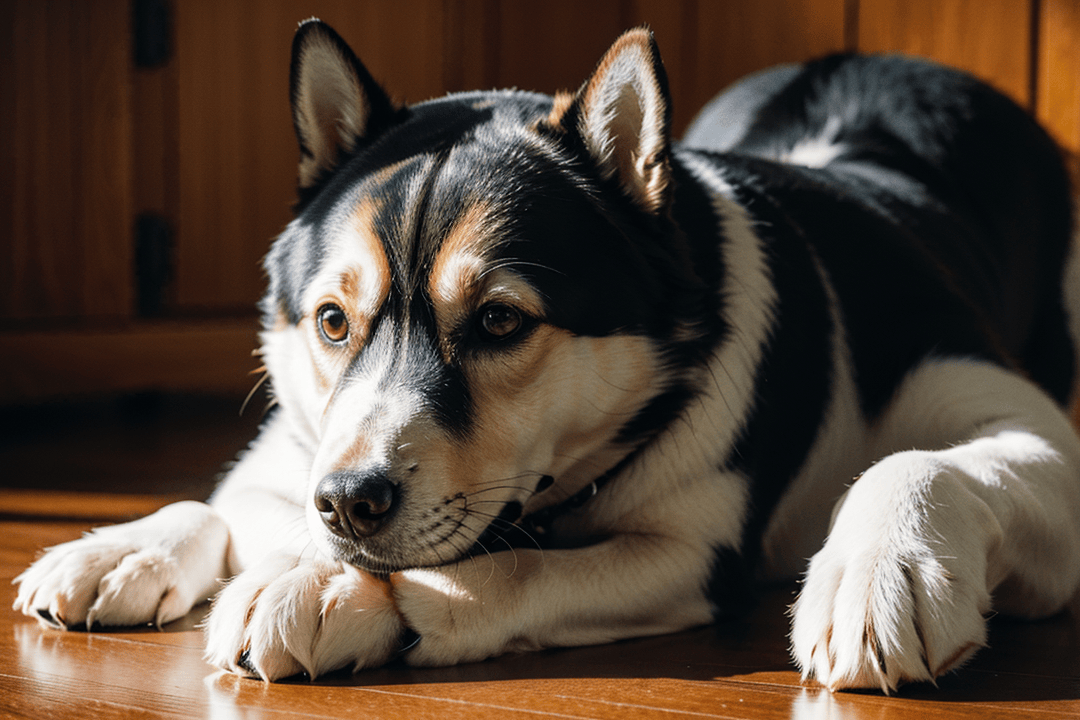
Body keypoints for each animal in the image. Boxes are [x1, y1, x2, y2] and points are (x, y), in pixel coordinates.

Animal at [12, 21, 1080, 690]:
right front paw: (126, 546)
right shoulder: (302, 447)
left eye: (498, 323)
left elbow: (511, 570)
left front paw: (881, 570)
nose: (348, 505)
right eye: (331, 323)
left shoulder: (699, 548)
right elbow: (232, 497)